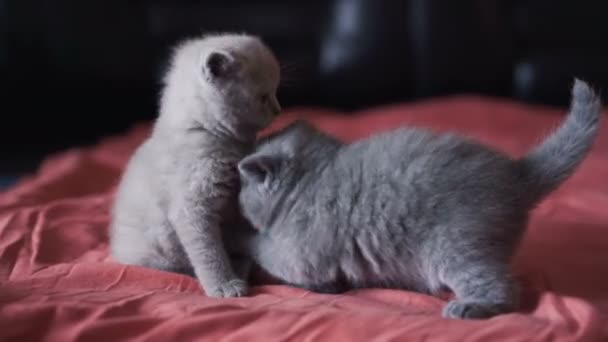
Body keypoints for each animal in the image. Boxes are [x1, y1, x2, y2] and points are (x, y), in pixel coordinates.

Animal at [110, 33, 282, 298]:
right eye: (263, 97)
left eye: (275, 91)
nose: (278, 110)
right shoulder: (193, 206)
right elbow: (209, 252)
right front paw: (225, 285)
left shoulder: (237, 205)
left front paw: (242, 265)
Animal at [235, 80, 600, 318]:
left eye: (242, 188)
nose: (236, 196)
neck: (311, 176)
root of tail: (516, 173)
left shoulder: (297, 252)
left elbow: (266, 249)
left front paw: (245, 237)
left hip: (458, 247)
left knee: (504, 290)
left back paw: (469, 307)